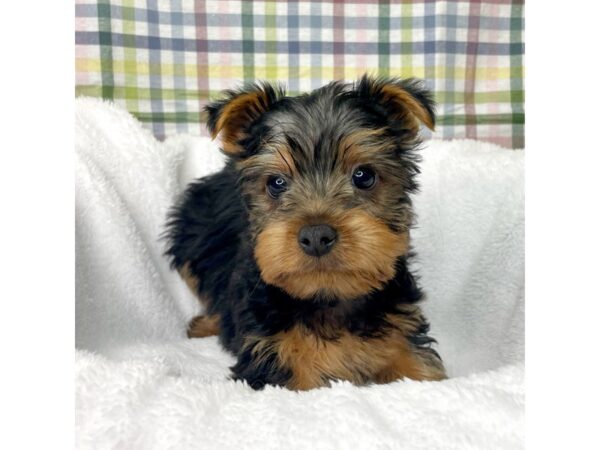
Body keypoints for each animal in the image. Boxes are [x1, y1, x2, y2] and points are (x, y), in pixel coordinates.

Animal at [164, 75, 446, 388]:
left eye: (364, 176)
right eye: (276, 183)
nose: (316, 236)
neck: (327, 298)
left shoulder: (401, 332)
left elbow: (422, 371)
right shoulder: (272, 356)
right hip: (191, 239)